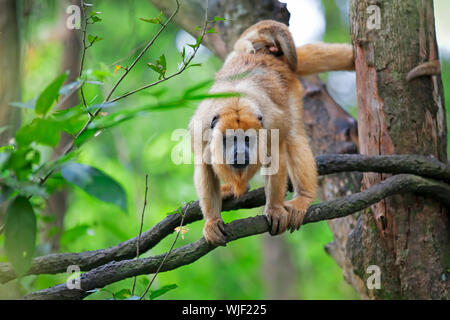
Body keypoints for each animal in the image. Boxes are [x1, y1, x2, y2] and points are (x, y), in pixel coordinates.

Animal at [188, 20, 354, 246]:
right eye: (230, 140)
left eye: (247, 139)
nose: (240, 152)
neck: (235, 104)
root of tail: (268, 55)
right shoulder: (201, 129)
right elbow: (204, 167)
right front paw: (212, 221)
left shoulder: (271, 123)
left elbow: (276, 154)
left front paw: (274, 209)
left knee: (294, 137)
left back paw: (303, 198)